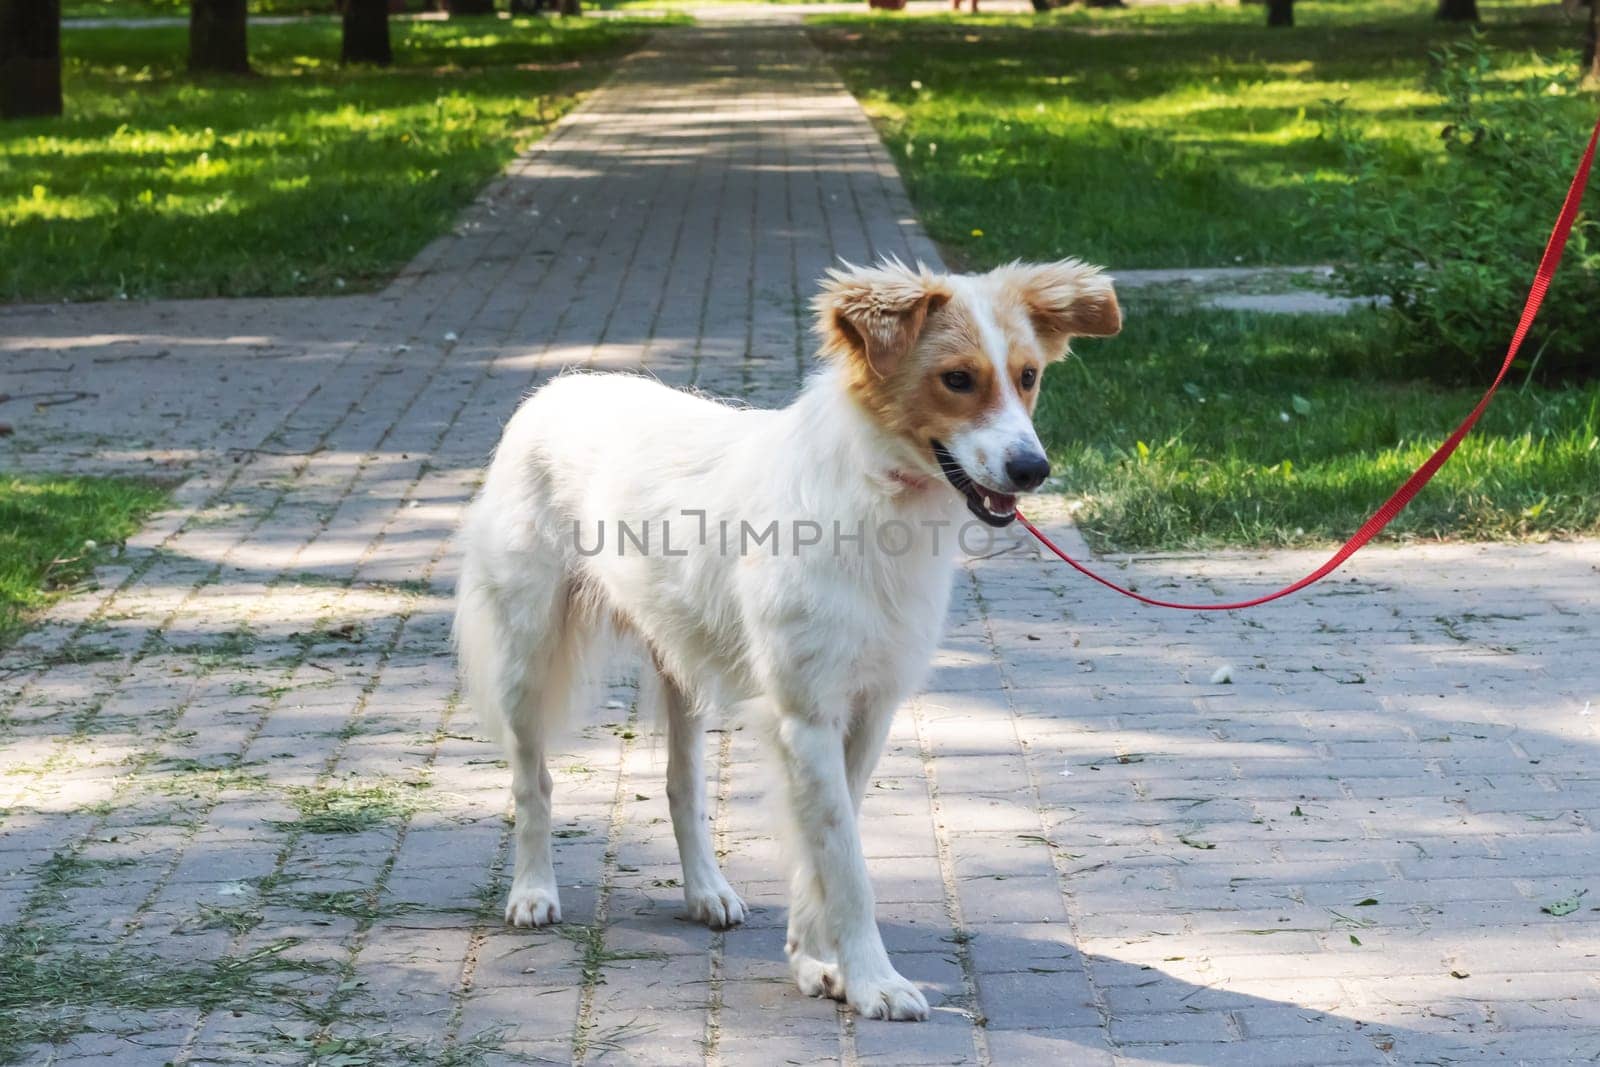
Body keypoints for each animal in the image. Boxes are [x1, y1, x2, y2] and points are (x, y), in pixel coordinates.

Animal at [457, 254, 1120, 1023]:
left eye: (1028, 376)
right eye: (957, 379)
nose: (1032, 469)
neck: (877, 497)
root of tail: (562, 384)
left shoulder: (866, 712)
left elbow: (824, 849)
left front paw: (816, 960)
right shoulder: (807, 714)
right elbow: (846, 864)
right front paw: (870, 979)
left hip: (681, 666)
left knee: (681, 786)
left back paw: (705, 891)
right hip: (525, 655)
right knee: (532, 780)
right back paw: (533, 890)